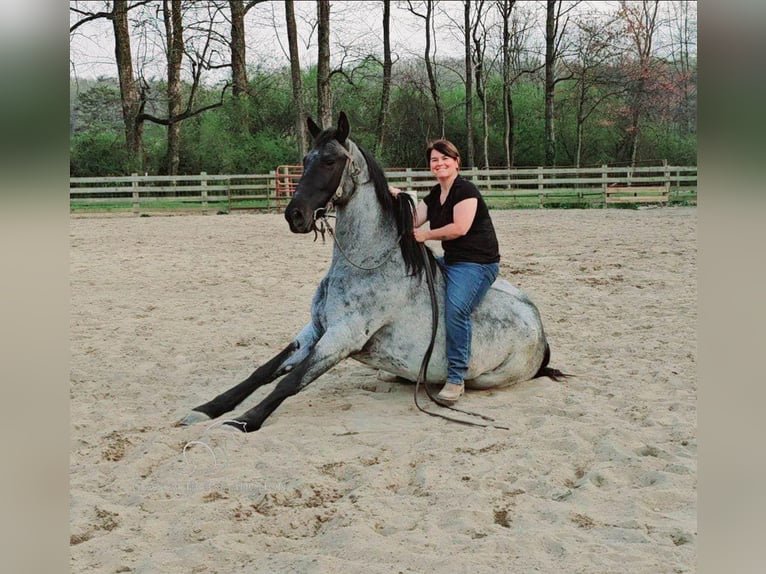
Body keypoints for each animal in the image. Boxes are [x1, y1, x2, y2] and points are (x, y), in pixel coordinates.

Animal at [178, 112, 564, 434]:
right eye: (304, 161)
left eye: (330, 160)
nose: (295, 215)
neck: (365, 266)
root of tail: (539, 329)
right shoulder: (315, 329)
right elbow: (264, 370)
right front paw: (206, 409)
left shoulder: (342, 336)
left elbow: (291, 381)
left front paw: (243, 421)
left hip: (487, 377)